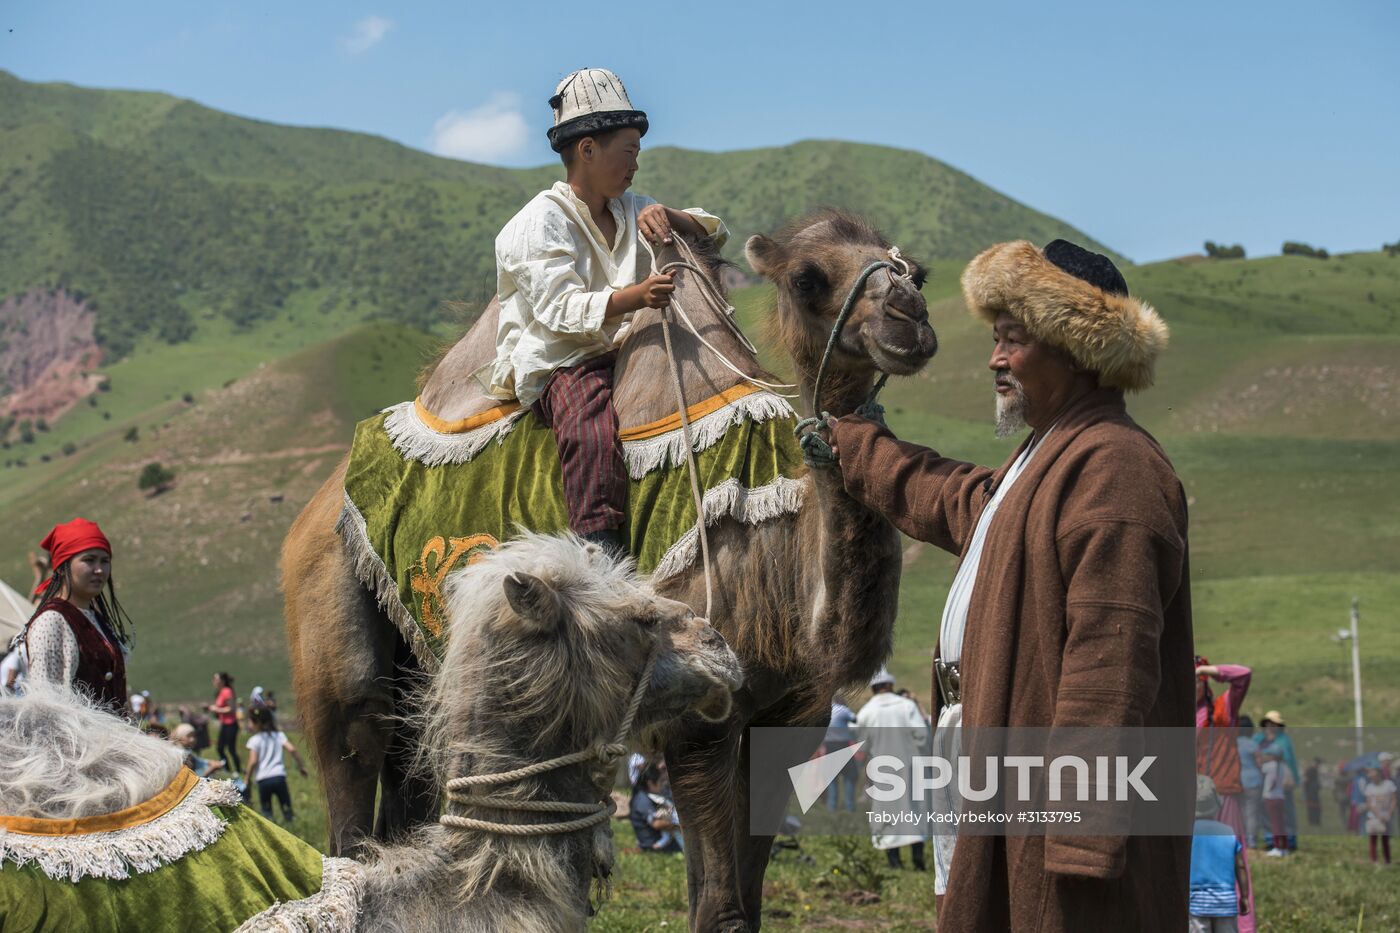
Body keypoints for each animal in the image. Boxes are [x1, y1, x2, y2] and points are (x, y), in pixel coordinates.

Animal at [281, 207, 940, 924]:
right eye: (807, 277)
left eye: (915, 271)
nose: (909, 318)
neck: (782, 560)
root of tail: (320, 501)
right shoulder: (699, 719)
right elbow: (721, 909)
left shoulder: (792, 718)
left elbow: (745, 899)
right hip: (333, 609)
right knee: (355, 745)